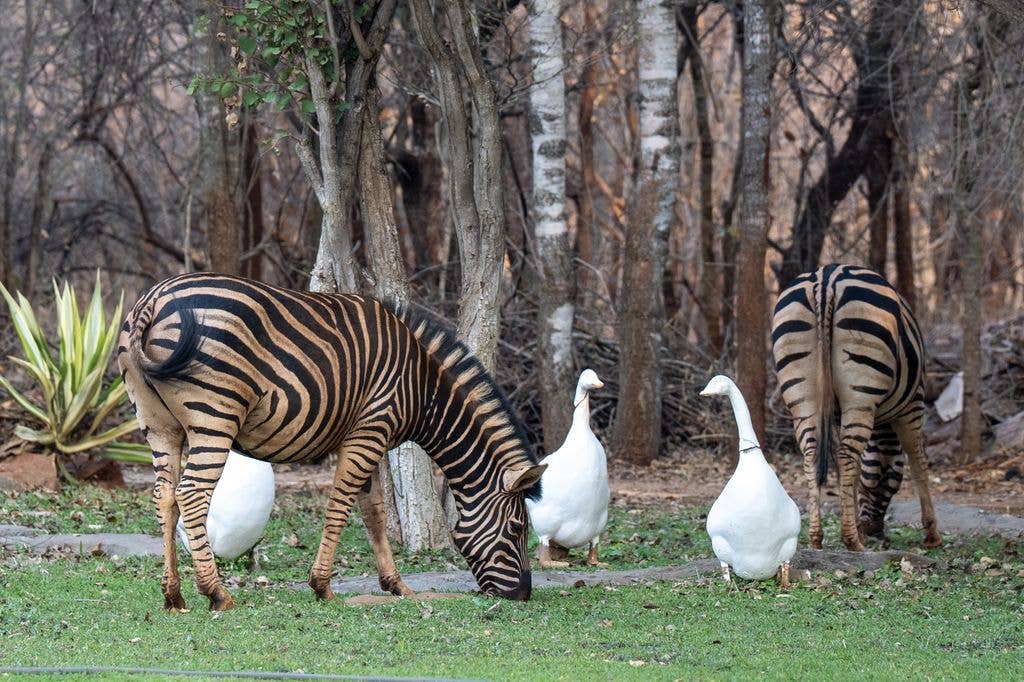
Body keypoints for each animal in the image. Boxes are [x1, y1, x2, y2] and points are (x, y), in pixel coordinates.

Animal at [117, 273, 546, 611]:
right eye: (517, 529)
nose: (523, 595)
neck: (425, 391)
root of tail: (154, 298)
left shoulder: (366, 436)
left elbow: (374, 513)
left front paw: (397, 585)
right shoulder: (370, 430)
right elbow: (341, 506)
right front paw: (322, 586)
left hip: (159, 425)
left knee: (165, 496)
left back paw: (173, 596)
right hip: (215, 415)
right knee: (191, 494)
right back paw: (217, 593)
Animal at [771, 263, 941, 551]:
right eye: (891, 478)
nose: (876, 532)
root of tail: (826, 279)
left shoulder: (838, 416)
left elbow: (849, 475)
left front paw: (856, 528)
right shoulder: (913, 404)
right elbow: (918, 461)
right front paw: (932, 534)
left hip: (802, 394)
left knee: (812, 454)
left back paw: (816, 538)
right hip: (861, 391)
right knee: (846, 455)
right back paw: (853, 542)